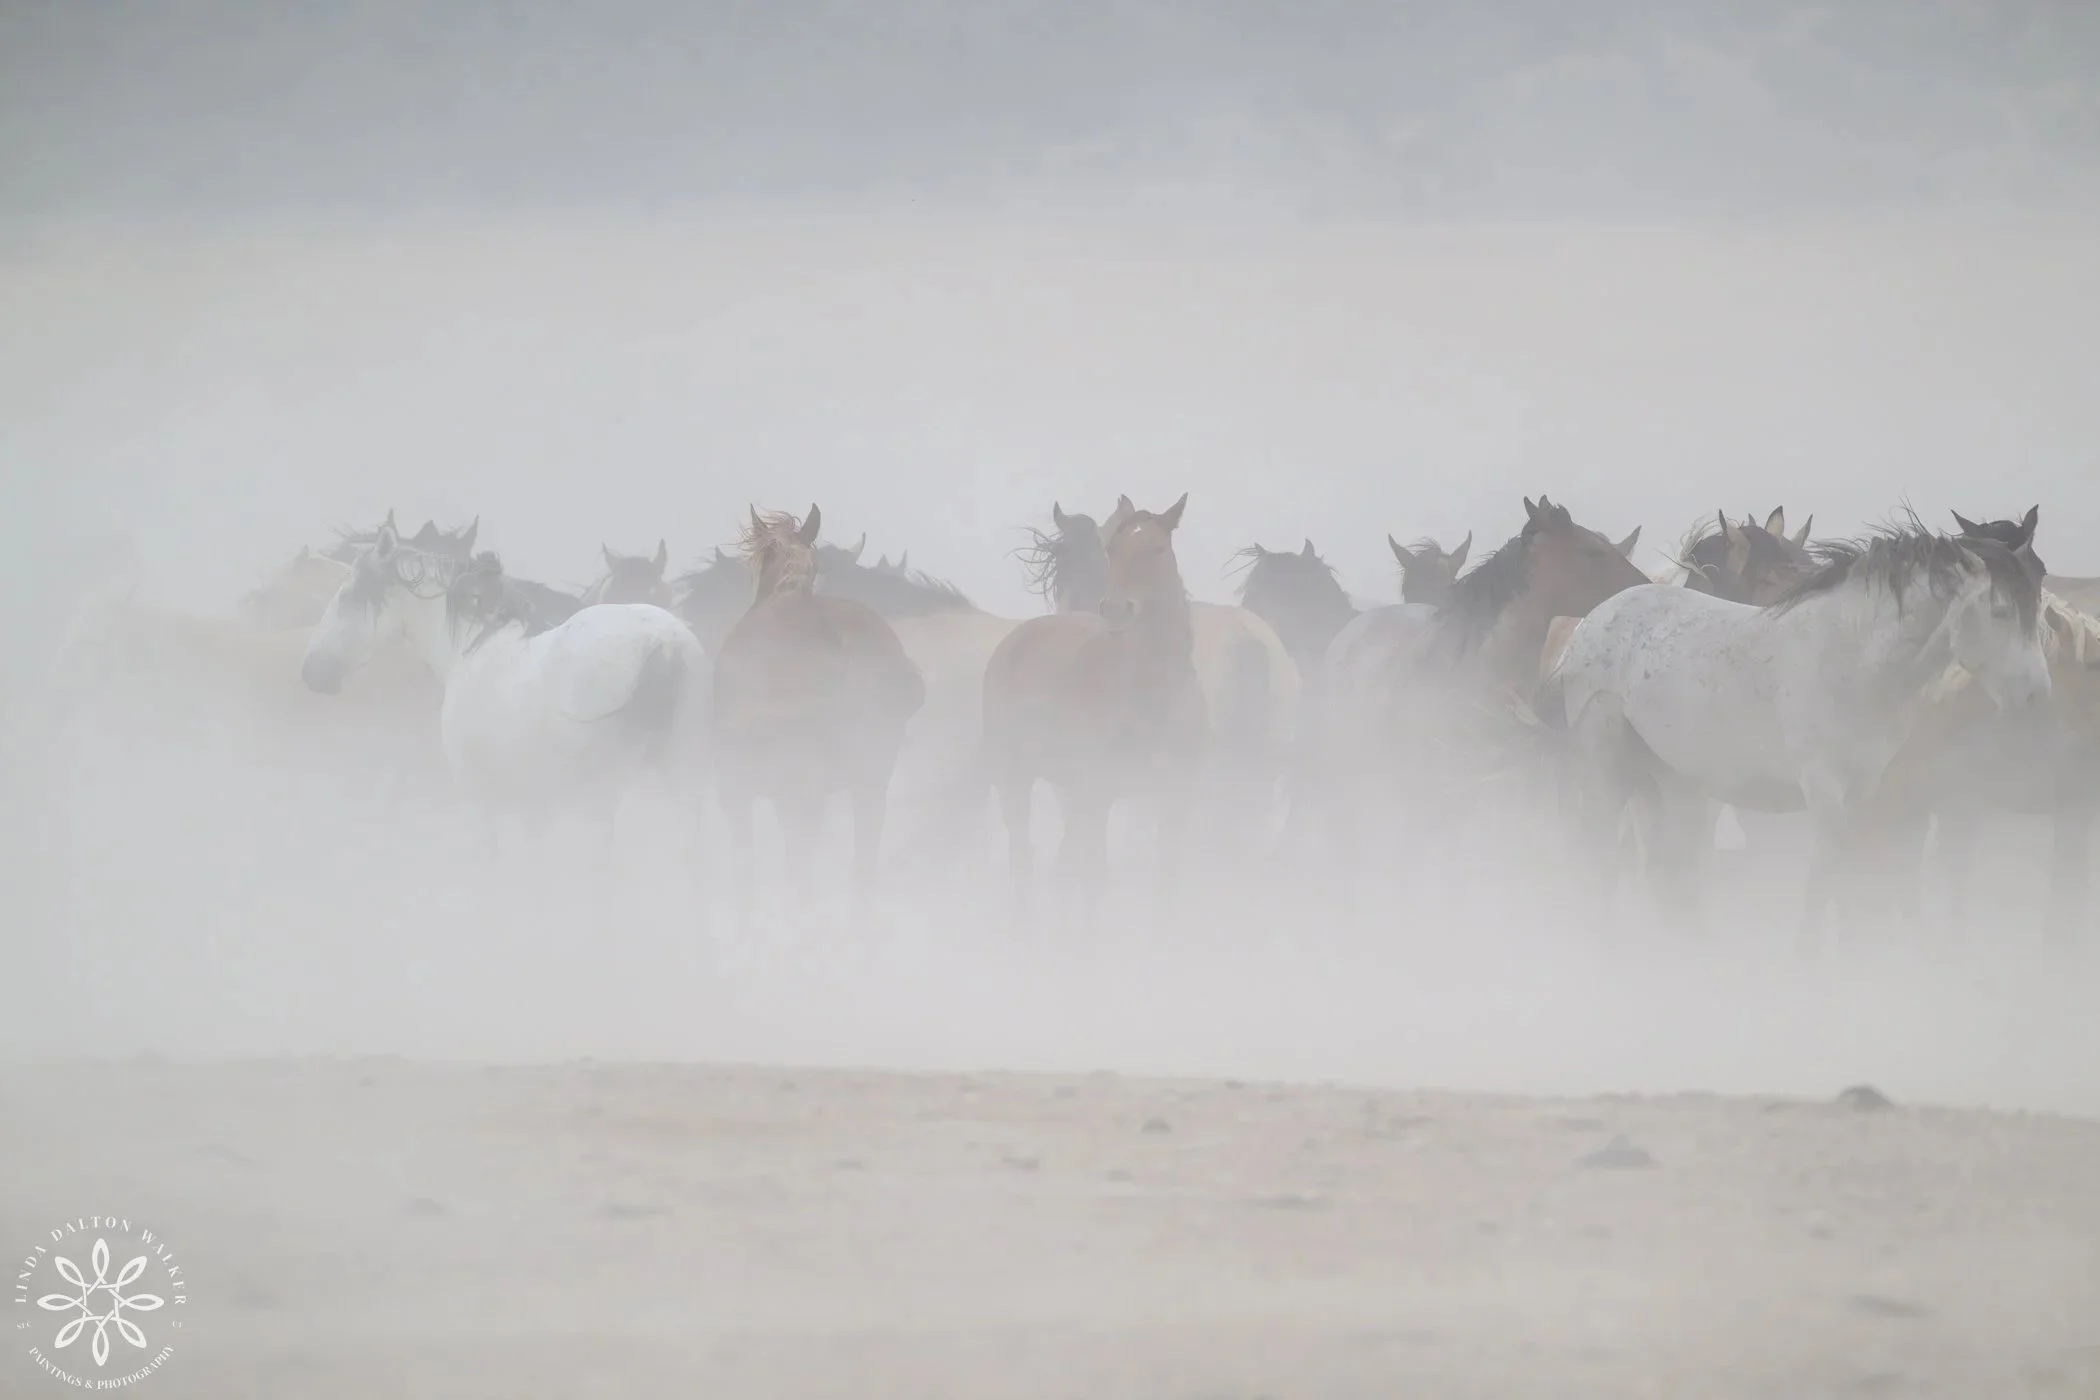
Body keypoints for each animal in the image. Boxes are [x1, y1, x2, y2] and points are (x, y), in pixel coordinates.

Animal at [300, 531, 709, 860]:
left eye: (347, 596)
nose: (310, 671)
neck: (472, 648)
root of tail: (663, 642)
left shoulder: (481, 803)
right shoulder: (536, 804)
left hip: (601, 796)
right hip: (682, 776)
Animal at [710, 506, 925, 915]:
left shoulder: (736, 789)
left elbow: (746, 871)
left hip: (799, 782)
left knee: (800, 866)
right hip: (870, 773)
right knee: (863, 864)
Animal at [983, 494, 1208, 921]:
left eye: (1157, 548)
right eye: (1112, 550)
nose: (1116, 610)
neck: (1150, 693)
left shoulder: (1176, 799)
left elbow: (1164, 883)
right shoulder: (1098, 794)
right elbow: (1094, 880)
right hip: (1013, 775)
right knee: (1024, 858)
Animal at [1548, 515, 2050, 943]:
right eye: (2000, 611)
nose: (2037, 697)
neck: (1850, 656)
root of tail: (1587, 625)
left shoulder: (1865, 793)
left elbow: (1855, 888)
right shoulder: (1825, 793)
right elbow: (1825, 884)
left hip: (1675, 782)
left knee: (1668, 873)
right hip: (1608, 769)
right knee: (1605, 860)